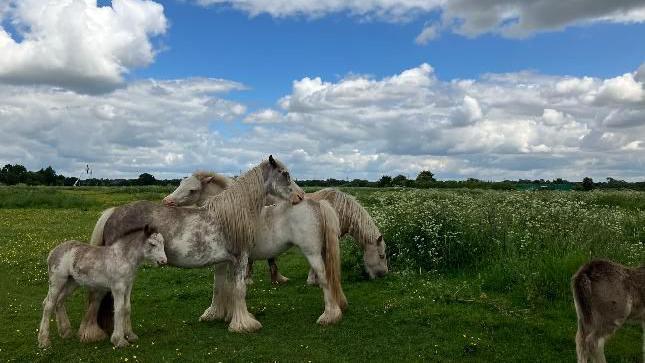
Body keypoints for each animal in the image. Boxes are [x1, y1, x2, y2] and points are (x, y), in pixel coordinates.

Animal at [37, 225, 166, 350]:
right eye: (152, 244)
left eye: (163, 243)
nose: (163, 261)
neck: (123, 257)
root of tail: (53, 251)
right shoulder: (118, 288)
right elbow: (119, 309)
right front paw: (119, 340)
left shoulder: (128, 286)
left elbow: (127, 308)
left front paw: (130, 335)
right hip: (57, 281)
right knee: (48, 305)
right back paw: (44, 341)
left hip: (71, 283)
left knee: (58, 302)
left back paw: (65, 332)